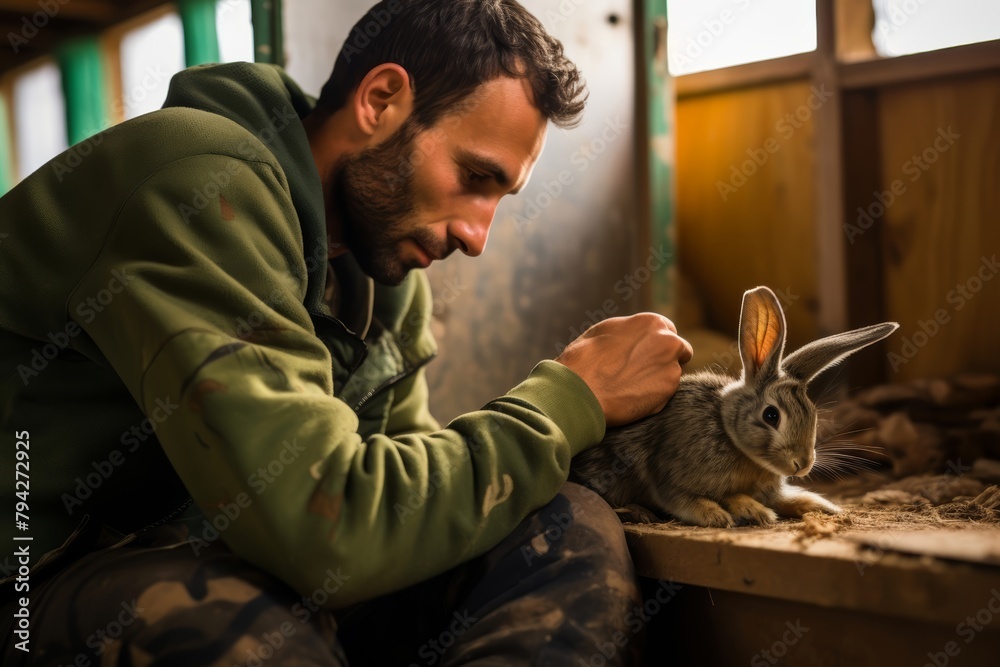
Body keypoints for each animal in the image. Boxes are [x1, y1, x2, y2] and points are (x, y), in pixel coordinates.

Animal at [570, 286, 899, 528]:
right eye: (771, 416)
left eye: (814, 415)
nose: (802, 464)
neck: (730, 435)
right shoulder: (667, 476)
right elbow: (683, 500)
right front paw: (722, 515)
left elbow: (780, 499)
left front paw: (822, 506)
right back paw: (637, 512)